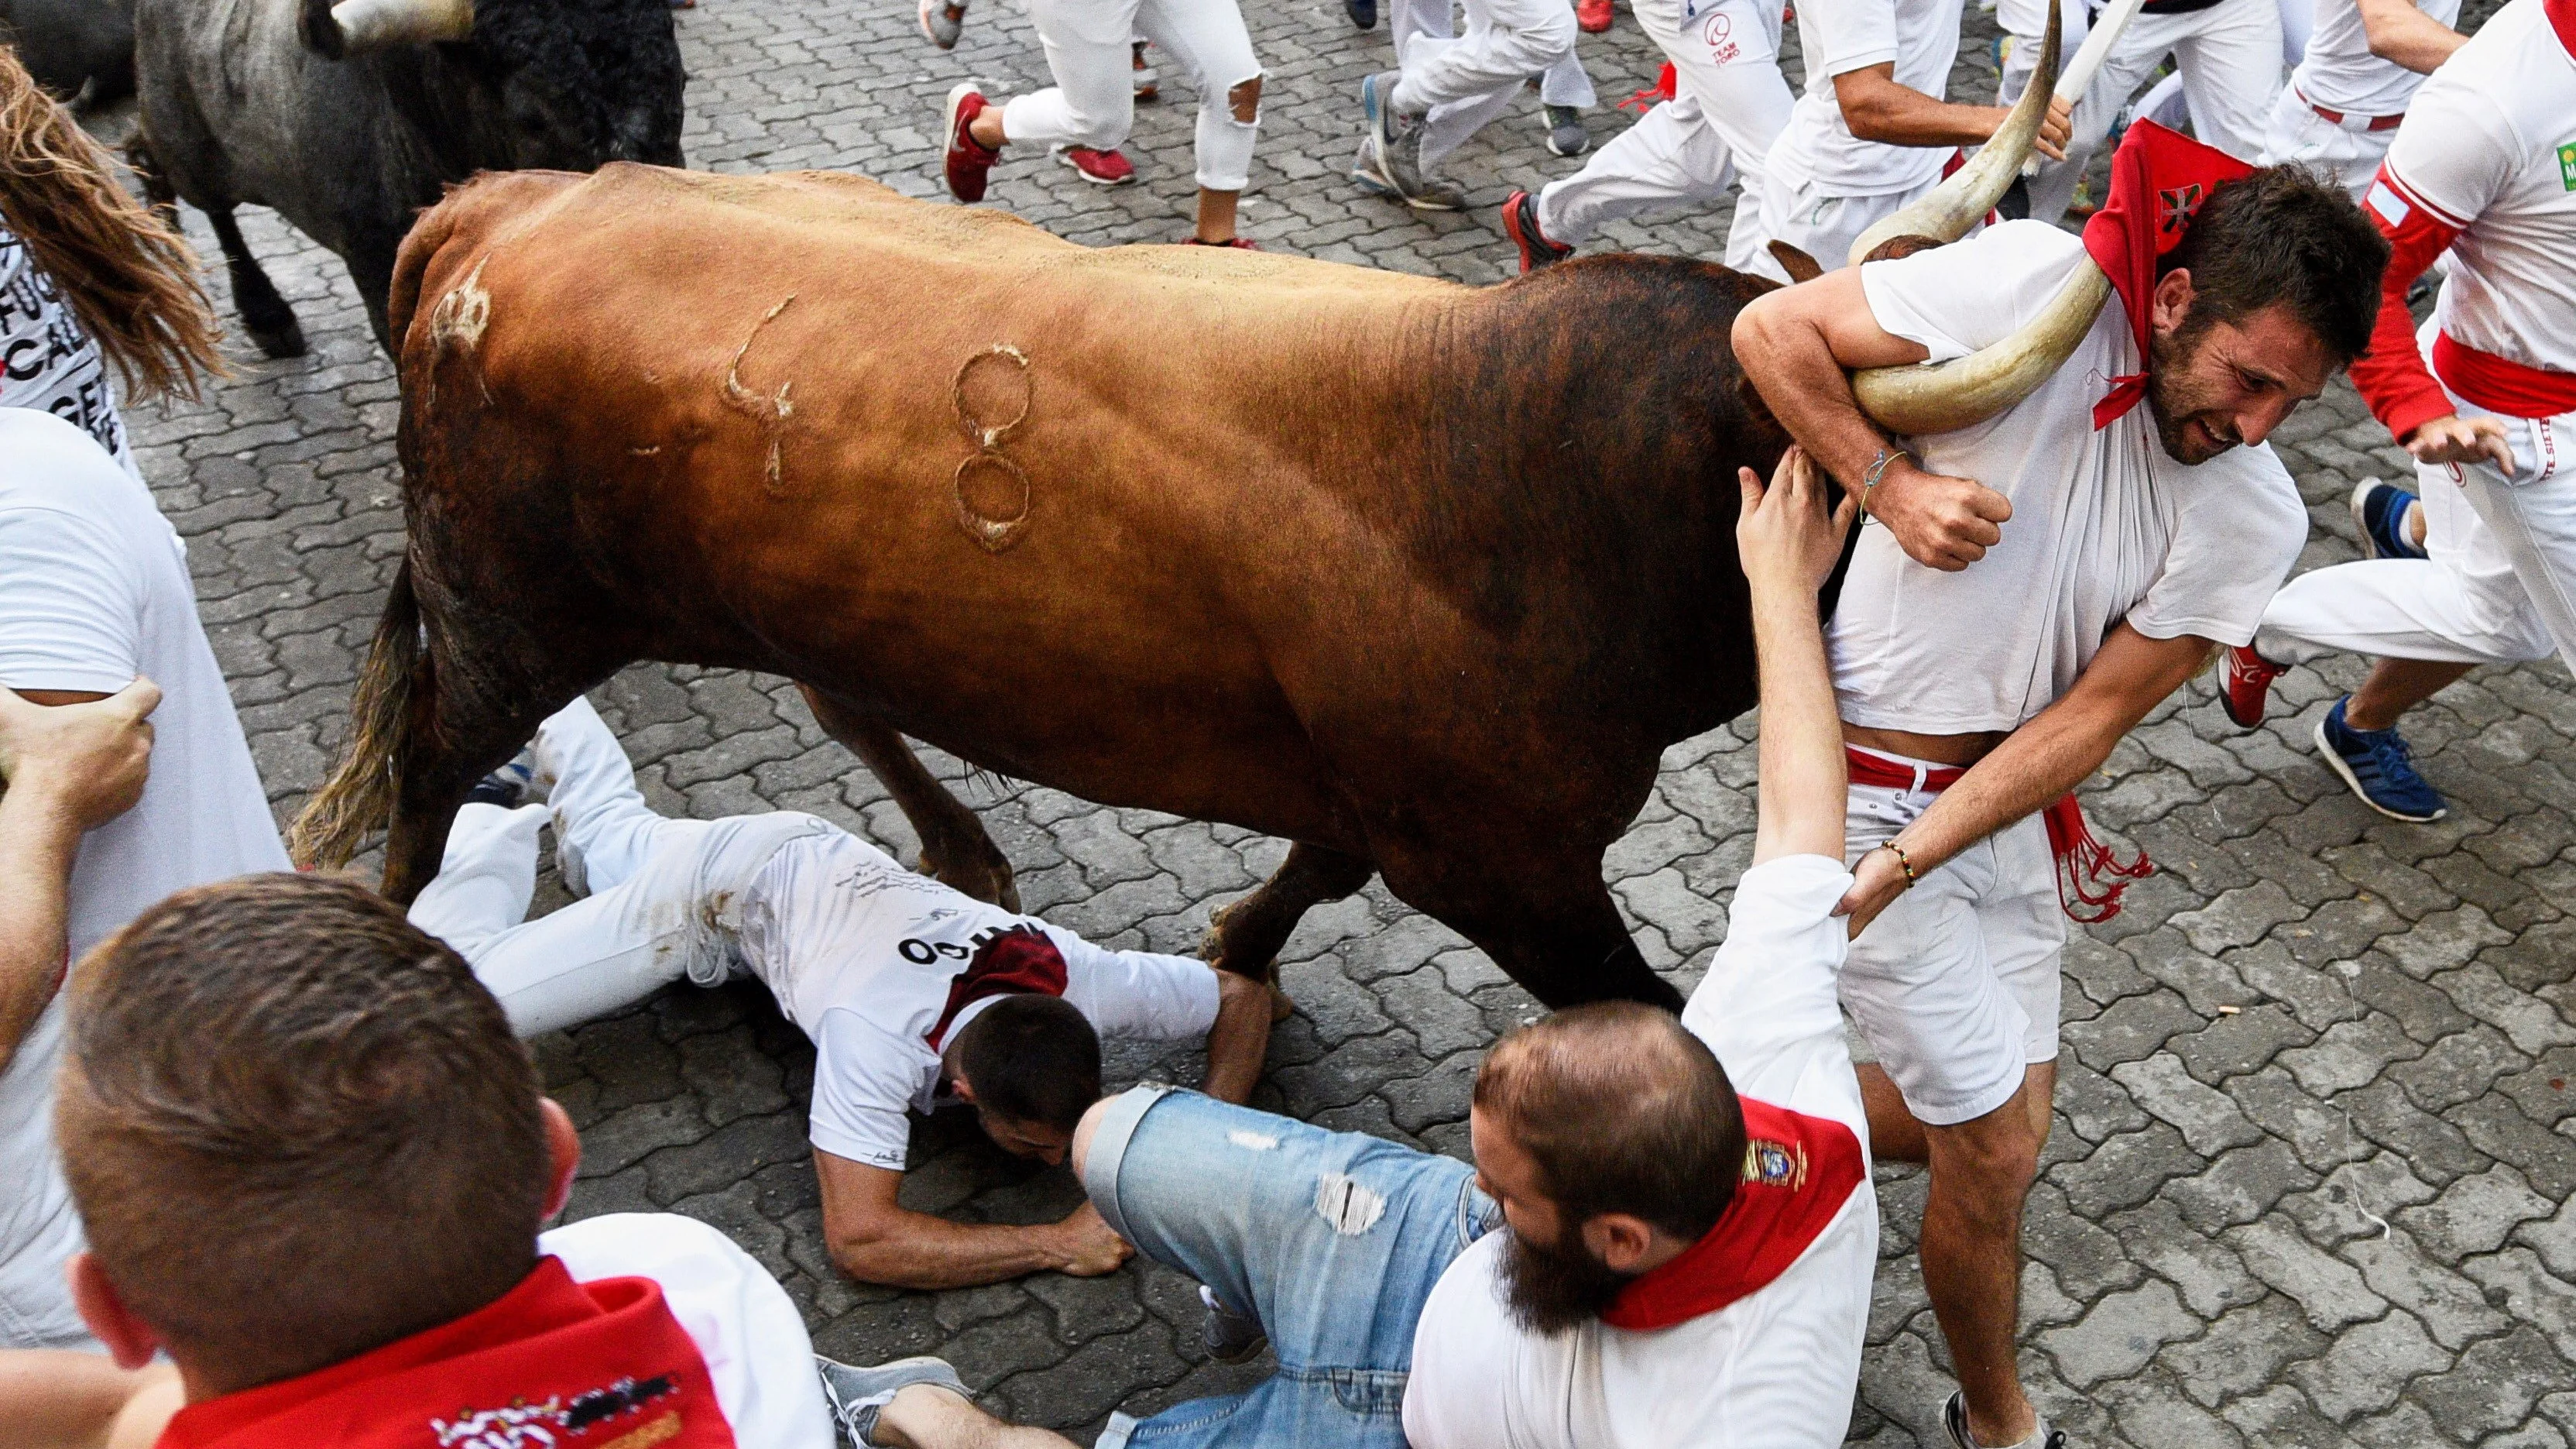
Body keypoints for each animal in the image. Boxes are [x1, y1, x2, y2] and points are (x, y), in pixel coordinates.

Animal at [301, 163, 1833, 1011]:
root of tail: (509, 199)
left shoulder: (1387, 798)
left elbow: (1320, 864)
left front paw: (1238, 943)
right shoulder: (1503, 863)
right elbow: (1648, 1012)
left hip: (774, 591)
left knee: (839, 696)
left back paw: (964, 847)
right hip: (505, 607)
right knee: (427, 765)